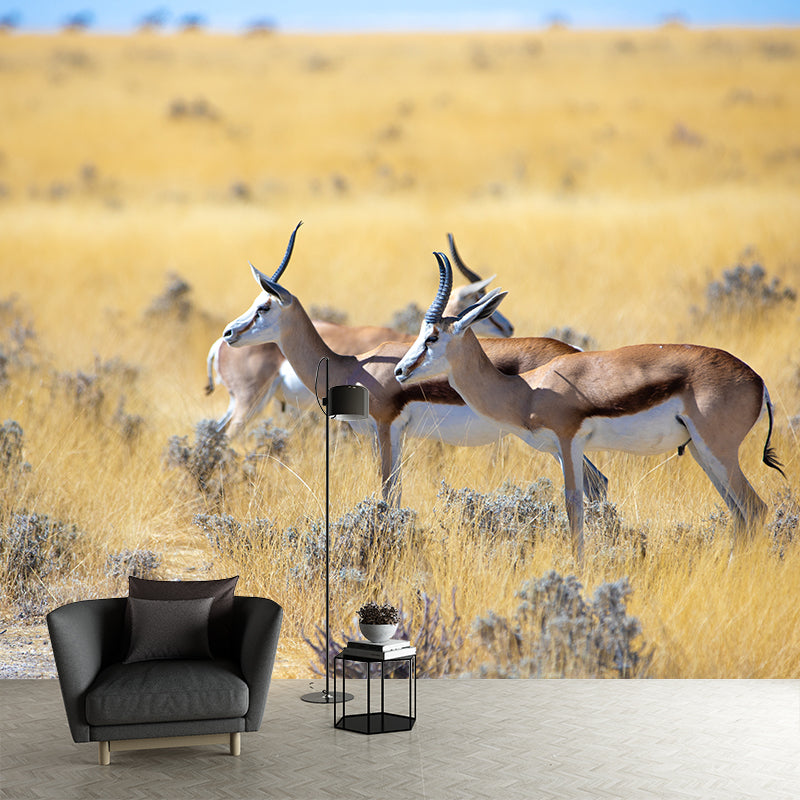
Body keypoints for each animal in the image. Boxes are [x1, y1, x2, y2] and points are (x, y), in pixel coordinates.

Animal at [394, 252, 785, 560]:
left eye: (432, 337)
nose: (400, 370)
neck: (527, 389)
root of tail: (758, 381)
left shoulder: (569, 442)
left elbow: (573, 505)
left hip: (718, 451)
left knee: (755, 509)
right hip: (703, 453)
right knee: (740, 514)